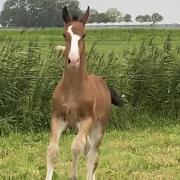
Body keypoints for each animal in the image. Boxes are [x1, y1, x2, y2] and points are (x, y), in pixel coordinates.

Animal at [45, 6, 122, 180]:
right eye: (64, 34)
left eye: (84, 34)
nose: (73, 60)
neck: (72, 90)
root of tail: (103, 81)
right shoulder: (58, 117)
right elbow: (53, 150)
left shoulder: (87, 119)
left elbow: (76, 147)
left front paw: (73, 175)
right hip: (78, 126)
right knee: (88, 149)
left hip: (98, 126)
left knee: (92, 155)